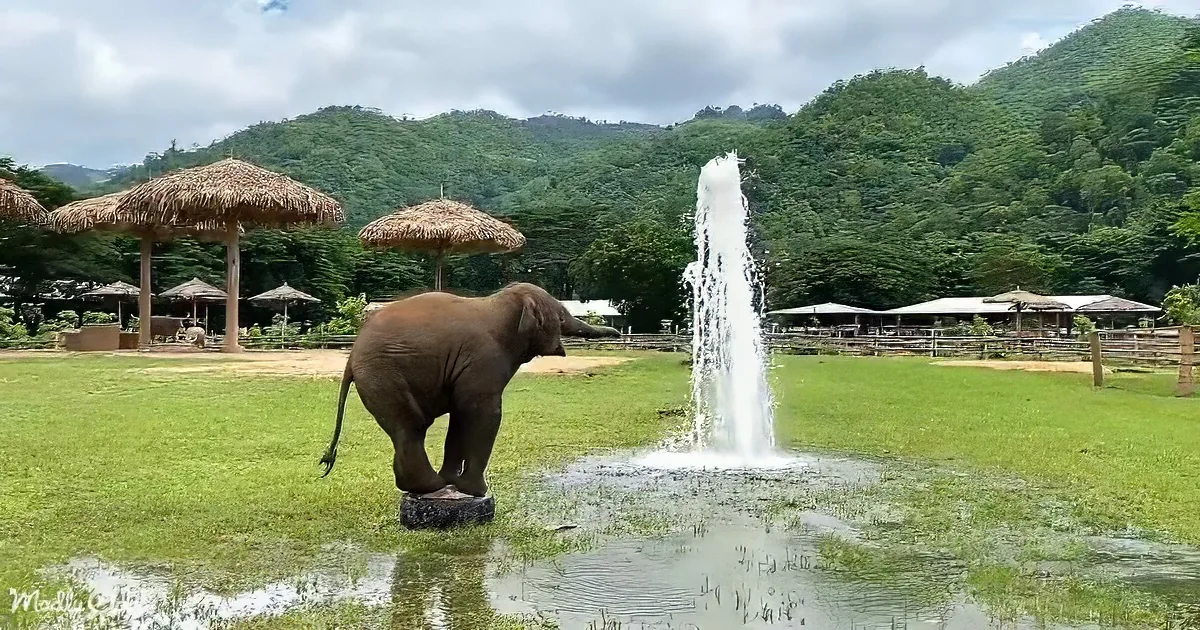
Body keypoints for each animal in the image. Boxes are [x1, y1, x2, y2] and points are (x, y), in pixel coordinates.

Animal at [318, 282, 621, 498]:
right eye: (560, 316)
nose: (618, 334)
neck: (497, 303)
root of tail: (351, 357)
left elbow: (460, 416)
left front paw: (456, 484)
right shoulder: (484, 360)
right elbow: (483, 414)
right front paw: (476, 492)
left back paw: (425, 486)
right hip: (385, 374)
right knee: (412, 426)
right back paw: (430, 486)